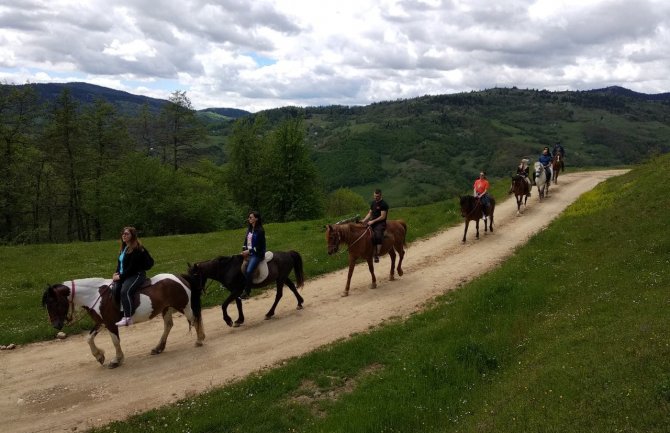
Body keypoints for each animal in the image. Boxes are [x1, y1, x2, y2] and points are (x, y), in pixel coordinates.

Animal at [42, 274, 205, 368]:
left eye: (54, 303)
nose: (56, 325)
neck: (96, 295)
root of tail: (180, 278)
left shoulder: (110, 323)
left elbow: (115, 341)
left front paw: (116, 360)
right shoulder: (101, 322)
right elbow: (89, 338)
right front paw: (99, 356)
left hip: (184, 306)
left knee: (195, 318)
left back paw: (199, 340)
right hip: (167, 309)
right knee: (169, 325)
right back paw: (158, 348)